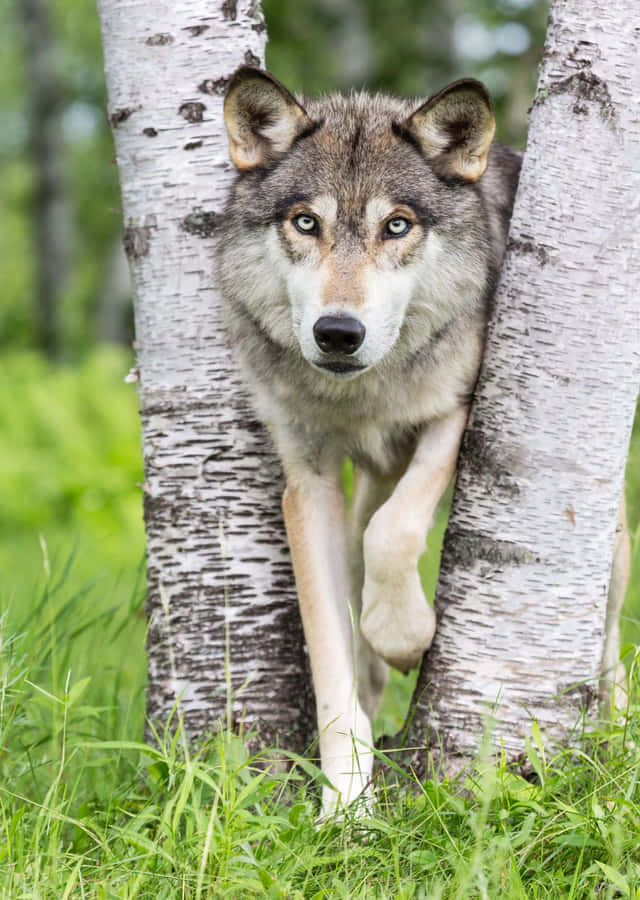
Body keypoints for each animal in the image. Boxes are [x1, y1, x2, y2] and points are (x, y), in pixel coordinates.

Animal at [218, 70, 628, 816]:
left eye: (397, 225)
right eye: (306, 222)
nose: (338, 333)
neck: (363, 394)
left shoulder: (457, 412)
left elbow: (400, 531)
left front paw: (407, 638)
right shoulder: (308, 486)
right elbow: (330, 658)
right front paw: (346, 804)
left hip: (608, 556)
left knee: (609, 652)